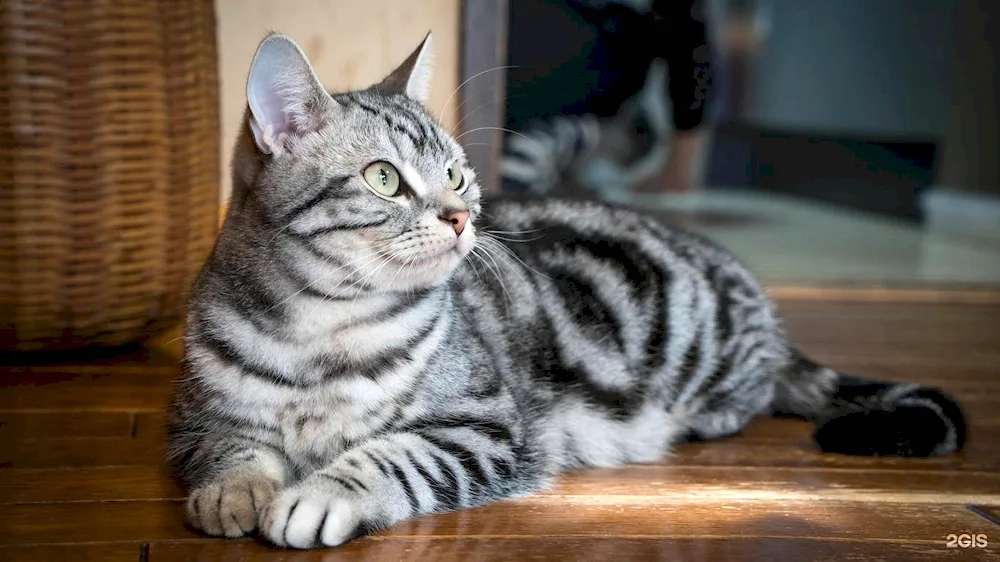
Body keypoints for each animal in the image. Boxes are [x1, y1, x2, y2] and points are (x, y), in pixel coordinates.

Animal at [168, 31, 964, 548]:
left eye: (456, 173)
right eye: (385, 178)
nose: (461, 215)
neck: (322, 330)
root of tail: (767, 315)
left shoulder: (482, 427)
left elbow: (392, 456)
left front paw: (320, 494)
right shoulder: (194, 421)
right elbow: (229, 447)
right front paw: (233, 493)